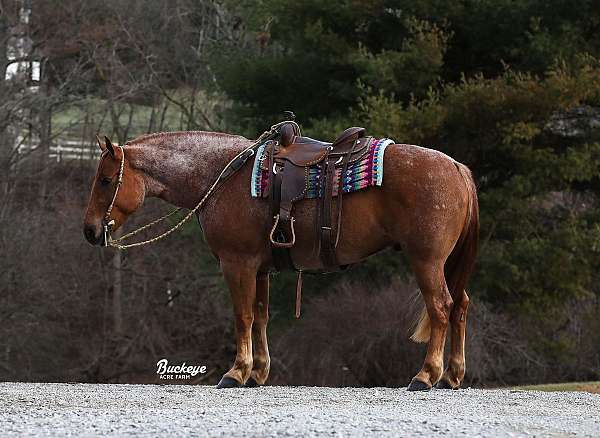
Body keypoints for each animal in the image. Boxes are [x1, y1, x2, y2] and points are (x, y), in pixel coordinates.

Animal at [83, 127, 478, 390]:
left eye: (105, 180)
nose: (89, 230)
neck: (222, 176)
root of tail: (457, 167)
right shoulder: (260, 270)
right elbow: (260, 316)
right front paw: (257, 372)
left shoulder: (237, 263)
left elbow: (242, 315)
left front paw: (236, 371)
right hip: (445, 264)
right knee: (460, 306)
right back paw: (452, 375)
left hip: (426, 260)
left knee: (441, 308)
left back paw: (426, 375)